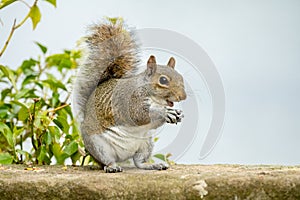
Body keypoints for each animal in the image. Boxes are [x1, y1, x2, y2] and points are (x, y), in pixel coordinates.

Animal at [72, 18, 186, 173]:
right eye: (163, 80)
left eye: (181, 77)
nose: (183, 96)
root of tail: (123, 157)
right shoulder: (130, 100)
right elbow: (139, 115)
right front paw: (165, 112)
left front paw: (177, 113)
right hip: (98, 146)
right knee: (107, 161)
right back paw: (112, 167)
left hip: (145, 144)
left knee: (139, 162)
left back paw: (151, 165)